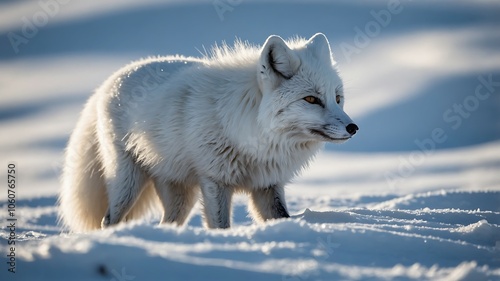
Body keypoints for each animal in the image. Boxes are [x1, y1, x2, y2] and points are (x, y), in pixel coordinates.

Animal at [58, 33, 360, 230]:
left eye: (337, 98)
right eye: (311, 99)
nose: (353, 128)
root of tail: (110, 81)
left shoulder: (267, 185)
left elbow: (280, 218)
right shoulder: (215, 180)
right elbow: (220, 226)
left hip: (181, 195)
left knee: (168, 223)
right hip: (127, 181)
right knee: (108, 220)